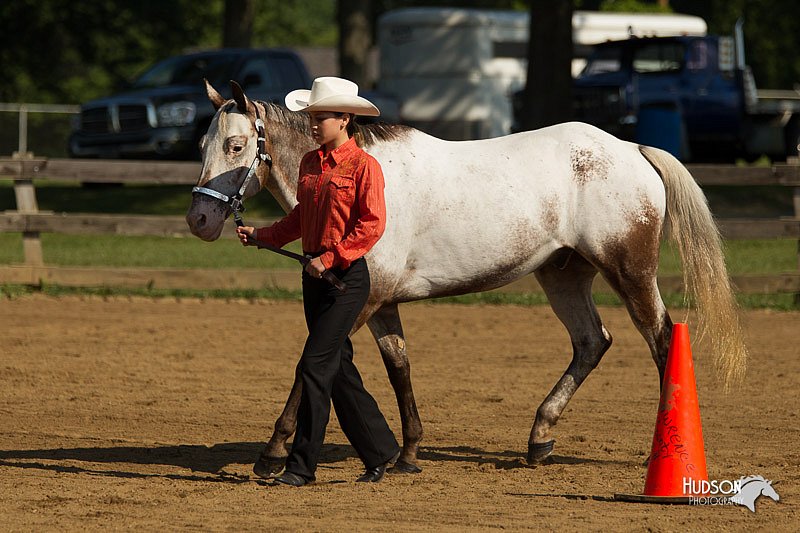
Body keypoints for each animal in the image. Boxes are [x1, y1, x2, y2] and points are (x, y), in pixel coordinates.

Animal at [184, 82, 748, 474]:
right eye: (203, 144)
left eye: (236, 146)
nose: (200, 220)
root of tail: (631, 149)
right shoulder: (381, 303)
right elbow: (399, 368)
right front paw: (408, 452)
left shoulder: (361, 302)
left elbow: (310, 365)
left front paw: (272, 454)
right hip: (563, 275)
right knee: (592, 342)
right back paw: (538, 440)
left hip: (630, 271)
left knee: (661, 342)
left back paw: (661, 452)